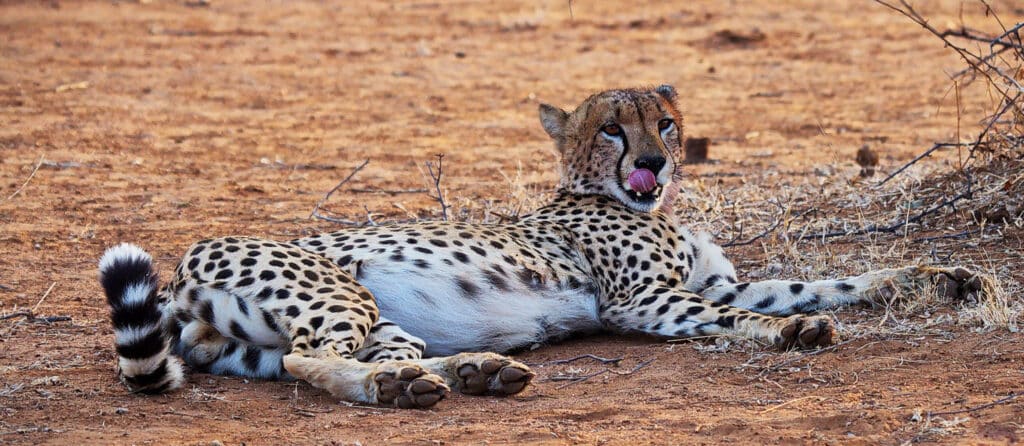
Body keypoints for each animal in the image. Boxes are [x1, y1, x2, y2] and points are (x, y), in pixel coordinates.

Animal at [101, 84, 983, 407]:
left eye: (665, 122)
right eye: (611, 129)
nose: (654, 163)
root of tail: (181, 272)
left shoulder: (715, 283)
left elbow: (827, 280)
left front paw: (944, 279)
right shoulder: (645, 302)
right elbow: (752, 319)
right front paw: (790, 333)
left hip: (375, 317)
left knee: (348, 354)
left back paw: (466, 372)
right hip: (335, 290)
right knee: (305, 357)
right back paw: (402, 389)